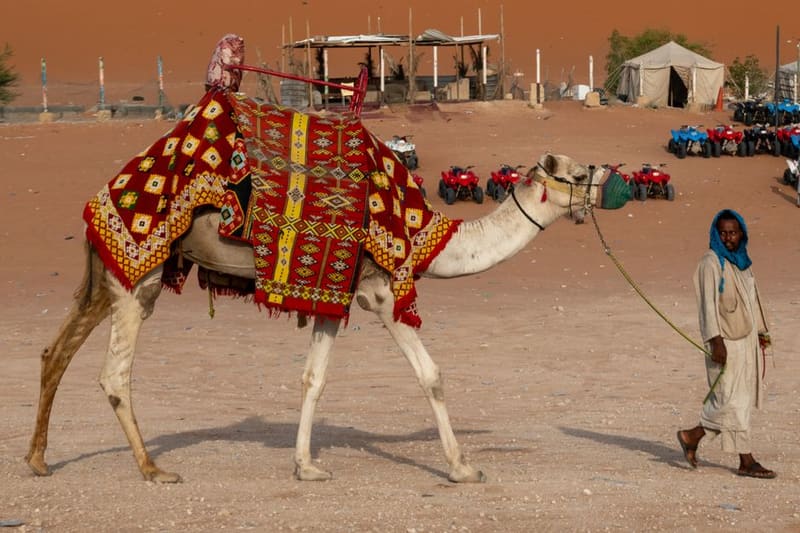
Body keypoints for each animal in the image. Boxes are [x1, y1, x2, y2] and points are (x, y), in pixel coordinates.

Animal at [26, 152, 606, 484]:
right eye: (578, 172)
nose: (608, 184)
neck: (423, 234)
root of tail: (103, 194)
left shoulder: (334, 296)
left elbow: (313, 379)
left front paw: (306, 466)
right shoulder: (379, 290)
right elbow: (431, 375)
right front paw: (463, 467)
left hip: (105, 273)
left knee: (56, 351)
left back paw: (37, 460)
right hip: (138, 273)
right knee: (114, 372)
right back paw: (152, 468)